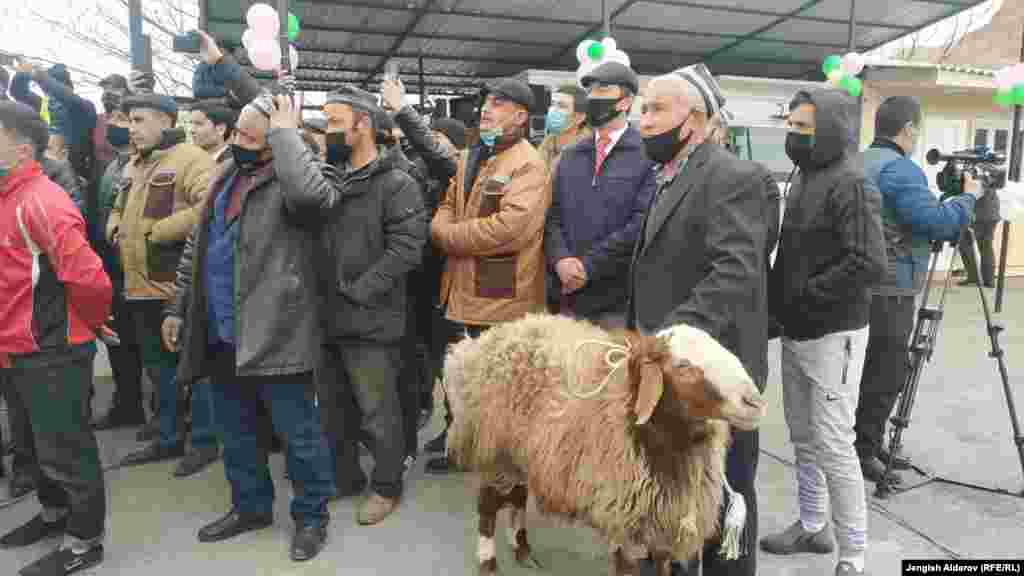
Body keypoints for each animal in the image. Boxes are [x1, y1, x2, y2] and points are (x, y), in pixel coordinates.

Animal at [444, 311, 765, 573]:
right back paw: (488, 562)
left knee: (518, 497)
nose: (755, 402)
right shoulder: (624, 520)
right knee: (488, 506)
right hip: (494, 447)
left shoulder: (662, 522)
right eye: (683, 366)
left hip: (521, 452)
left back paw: (521, 548)